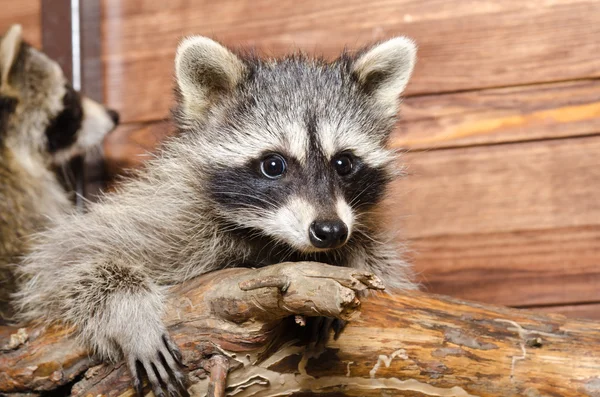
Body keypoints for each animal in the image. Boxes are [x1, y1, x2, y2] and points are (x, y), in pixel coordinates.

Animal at [15, 35, 418, 394]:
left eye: (343, 163)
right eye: (274, 165)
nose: (330, 231)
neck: (268, 235)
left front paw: (342, 261)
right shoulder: (168, 214)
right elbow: (66, 258)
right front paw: (128, 312)